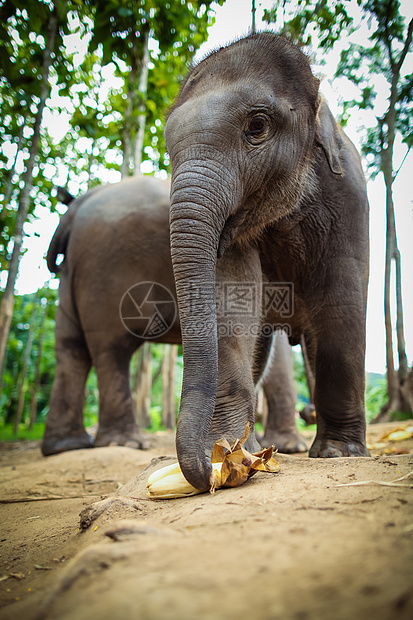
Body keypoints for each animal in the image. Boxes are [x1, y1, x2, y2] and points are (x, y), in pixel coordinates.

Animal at [165, 34, 370, 492]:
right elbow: (232, 295)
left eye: (256, 126)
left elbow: (343, 299)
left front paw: (340, 453)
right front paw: (228, 452)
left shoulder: (349, 194)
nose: (206, 471)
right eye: (168, 146)